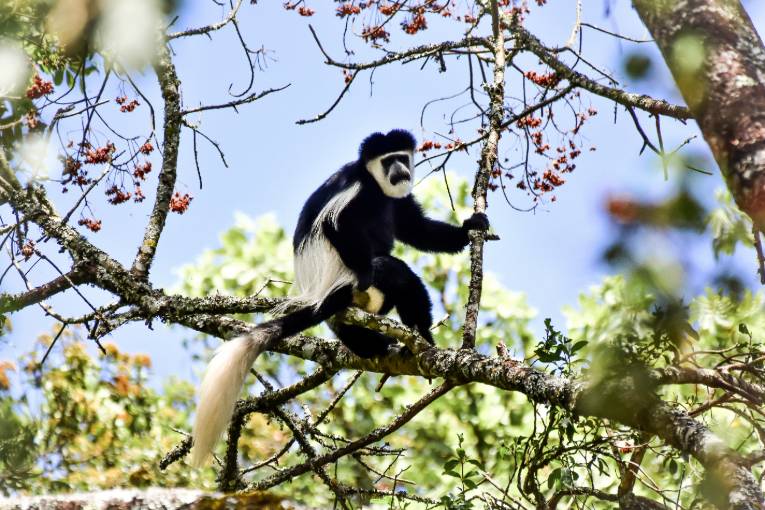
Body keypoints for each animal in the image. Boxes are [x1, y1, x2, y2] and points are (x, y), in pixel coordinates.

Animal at [191, 128, 490, 466]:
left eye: (402, 157)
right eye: (387, 160)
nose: (400, 171)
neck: (376, 185)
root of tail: (322, 297)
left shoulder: (398, 201)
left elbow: (418, 230)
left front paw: (471, 227)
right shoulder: (356, 193)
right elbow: (336, 225)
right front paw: (366, 272)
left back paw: (380, 344)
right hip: (346, 283)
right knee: (396, 272)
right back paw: (419, 333)